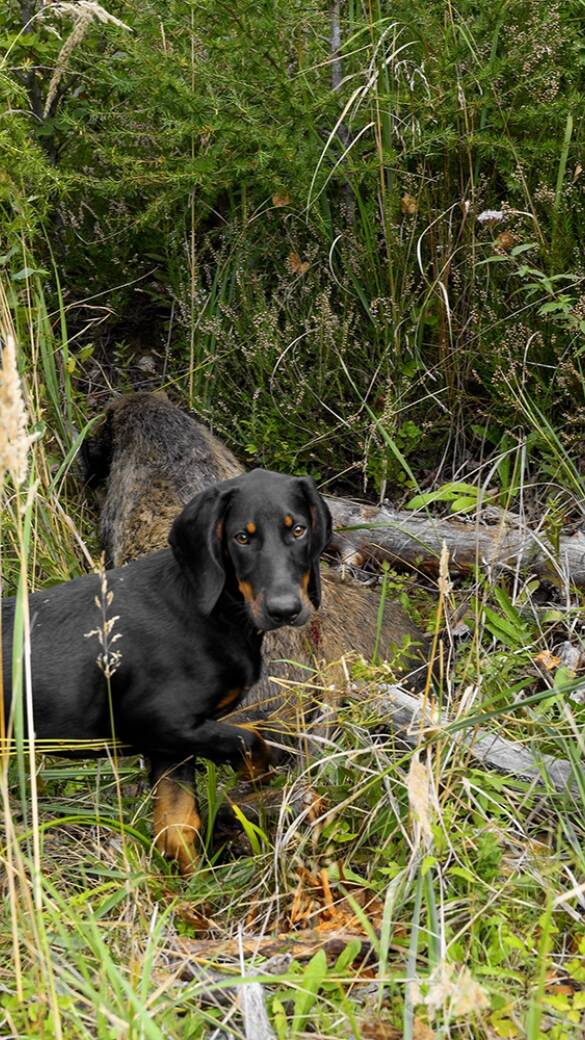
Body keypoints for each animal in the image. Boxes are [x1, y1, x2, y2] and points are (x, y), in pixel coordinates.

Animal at [0, 472, 331, 877]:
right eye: (241, 537)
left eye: (298, 529)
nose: (284, 610)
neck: (210, 613)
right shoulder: (157, 723)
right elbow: (248, 739)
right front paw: (258, 778)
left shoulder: (169, 746)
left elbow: (178, 828)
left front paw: (197, 887)